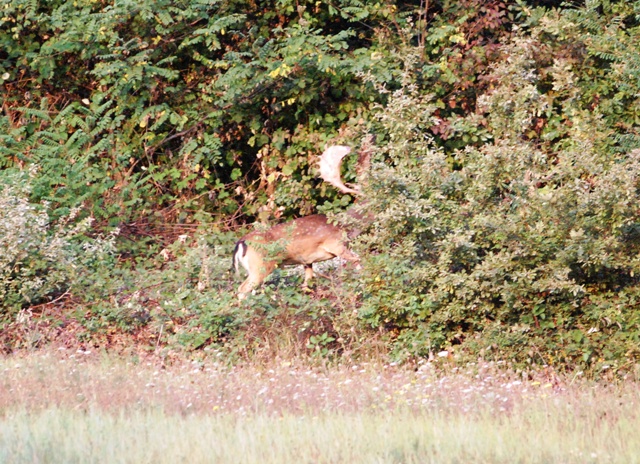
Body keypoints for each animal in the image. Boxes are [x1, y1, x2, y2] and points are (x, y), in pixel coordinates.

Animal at [234, 143, 370, 300]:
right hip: (260, 266)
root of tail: (240, 243)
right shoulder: (336, 245)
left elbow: (307, 285)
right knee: (242, 289)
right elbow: (358, 261)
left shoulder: (307, 261)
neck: (345, 227)